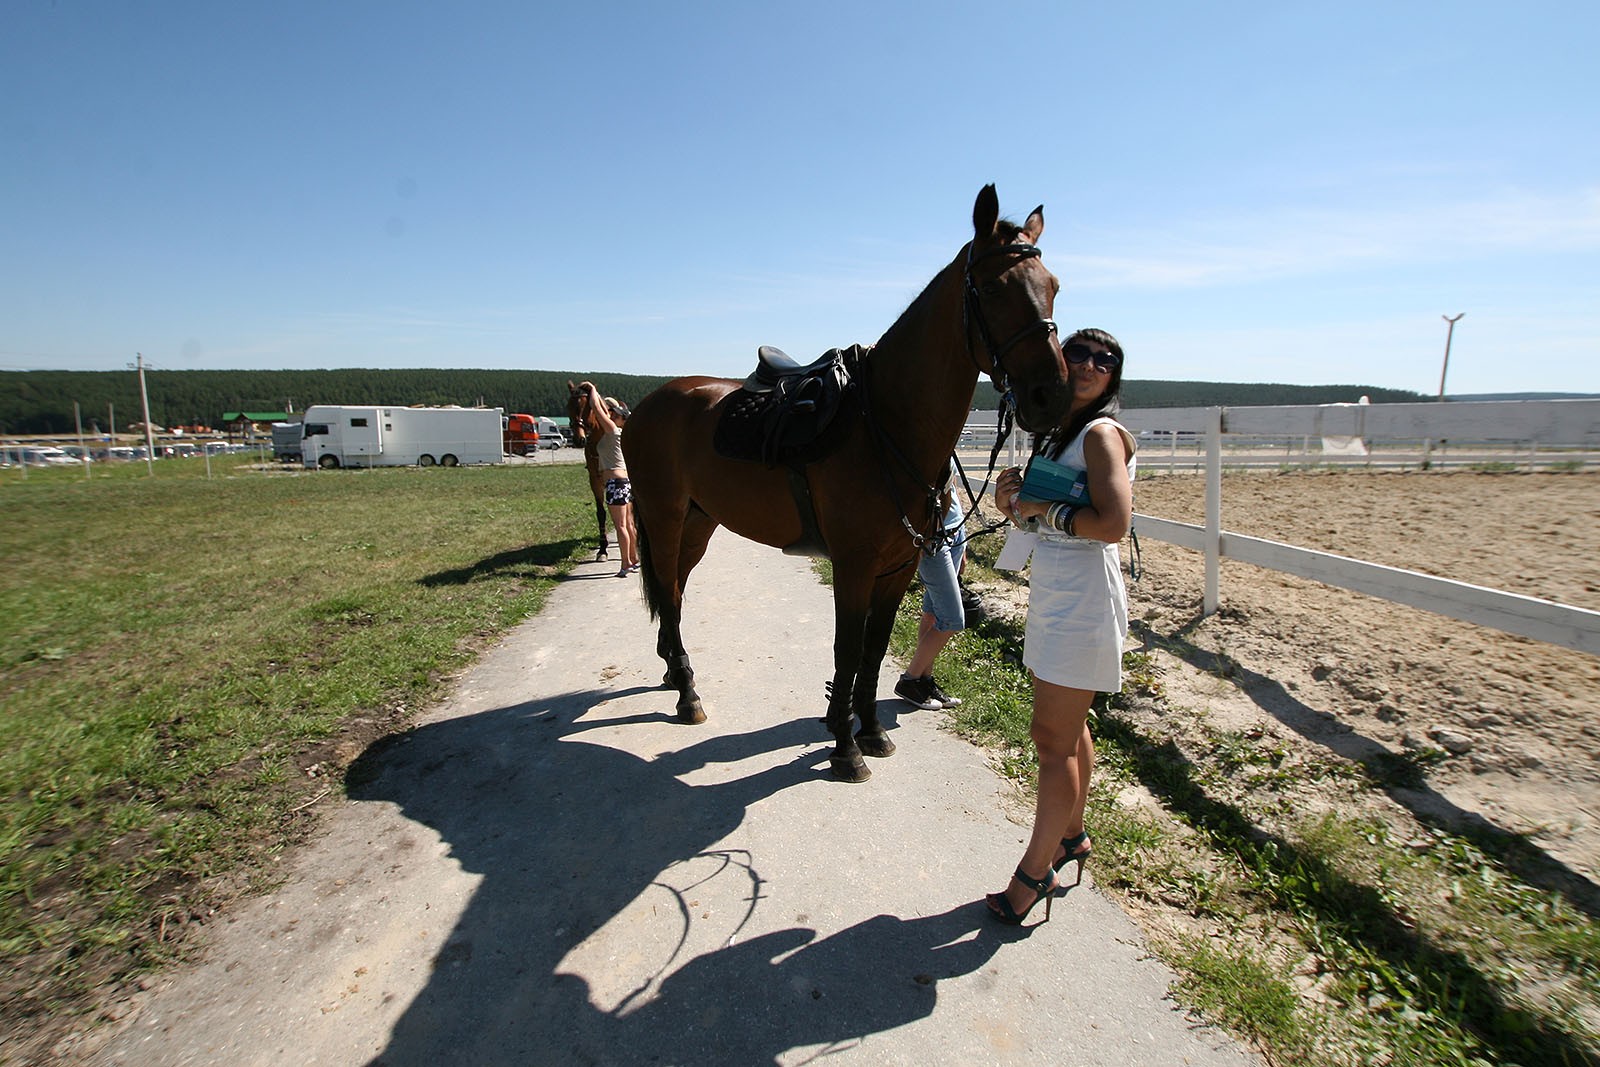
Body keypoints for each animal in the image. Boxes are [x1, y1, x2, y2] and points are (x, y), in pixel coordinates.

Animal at [624, 187, 1075, 780]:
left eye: (1053, 287)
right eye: (996, 287)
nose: (1052, 396)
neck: (886, 423)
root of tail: (645, 406)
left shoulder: (898, 568)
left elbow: (874, 650)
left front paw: (873, 730)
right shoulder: (855, 565)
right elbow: (845, 649)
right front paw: (845, 746)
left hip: (698, 523)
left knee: (673, 587)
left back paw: (676, 674)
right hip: (664, 516)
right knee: (671, 598)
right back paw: (687, 695)